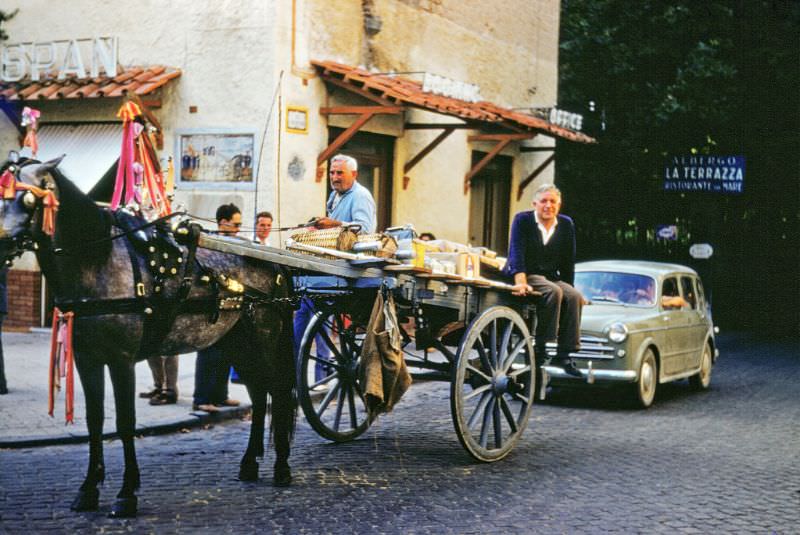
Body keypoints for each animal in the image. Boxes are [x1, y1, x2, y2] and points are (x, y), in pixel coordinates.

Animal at [0, 156, 296, 520]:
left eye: (29, 199)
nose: (1, 242)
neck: (98, 261)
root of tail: (275, 263)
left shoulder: (121, 359)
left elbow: (125, 422)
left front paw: (126, 495)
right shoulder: (86, 359)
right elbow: (95, 421)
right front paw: (89, 489)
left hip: (265, 340)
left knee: (278, 393)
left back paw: (282, 467)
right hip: (236, 344)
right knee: (258, 395)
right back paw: (250, 463)